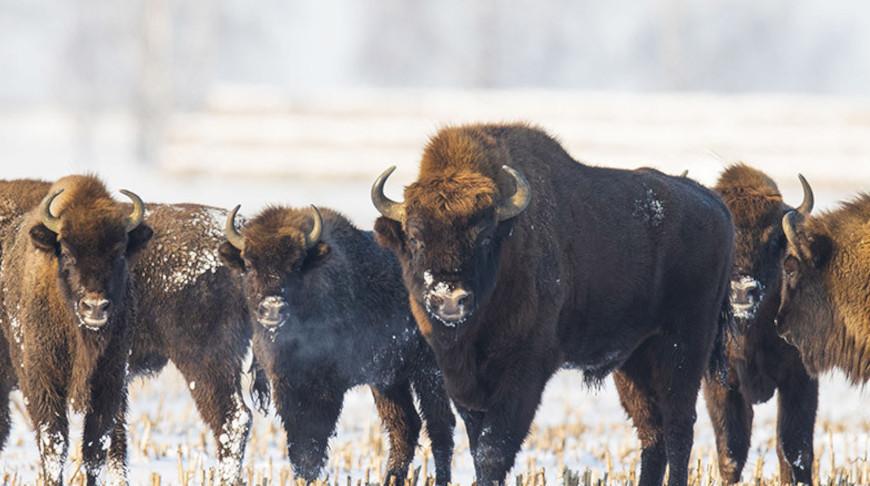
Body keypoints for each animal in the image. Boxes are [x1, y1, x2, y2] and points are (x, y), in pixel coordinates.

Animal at [0, 175, 152, 486]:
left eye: (120, 253)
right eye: (67, 253)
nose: (95, 306)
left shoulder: (109, 383)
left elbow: (94, 449)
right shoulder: (43, 382)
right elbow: (54, 446)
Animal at [372, 122, 736, 486]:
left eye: (485, 236)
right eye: (415, 237)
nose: (449, 298)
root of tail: (716, 206)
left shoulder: (524, 372)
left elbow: (493, 450)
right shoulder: (462, 381)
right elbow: (478, 445)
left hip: (683, 347)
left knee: (678, 426)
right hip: (634, 361)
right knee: (651, 431)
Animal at [704, 165, 820, 484]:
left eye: (771, 240)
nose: (743, 291)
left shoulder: (800, 378)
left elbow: (795, 451)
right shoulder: (719, 383)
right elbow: (731, 453)